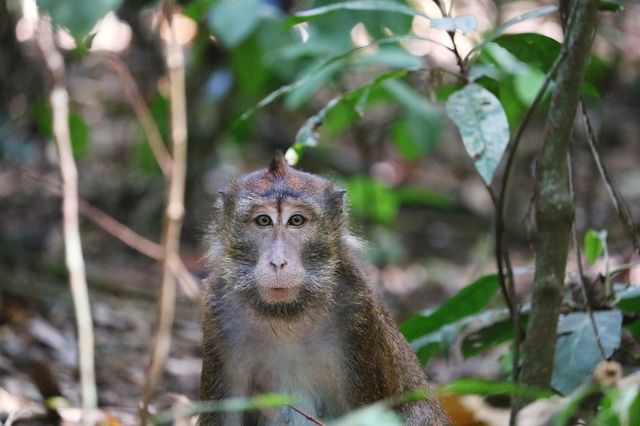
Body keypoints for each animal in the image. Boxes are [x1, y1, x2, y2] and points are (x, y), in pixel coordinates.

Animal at [201, 154, 450, 426]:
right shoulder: (219, 315)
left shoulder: (357, 314)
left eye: (296, 220)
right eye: (263, 220)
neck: (287, 316)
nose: (278, 262)